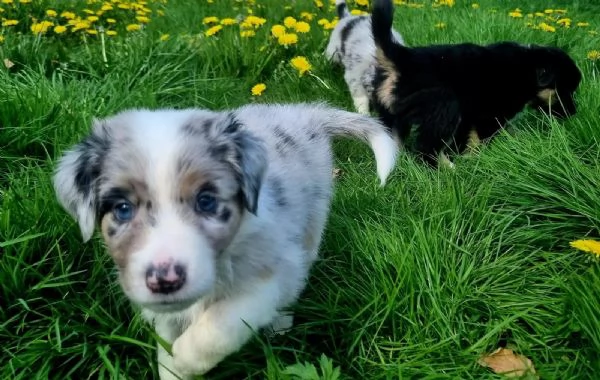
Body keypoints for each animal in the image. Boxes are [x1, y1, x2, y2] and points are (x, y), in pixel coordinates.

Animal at [370, 0, 580, 168]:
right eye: (565, 90)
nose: (573, 113)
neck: (527, 69)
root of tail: (400, 57)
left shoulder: (470, 117)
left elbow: (466, 138)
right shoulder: (490, 115)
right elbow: (478, 139)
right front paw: (474, 160)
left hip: (390, 112)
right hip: (443, 103)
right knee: (427, 145)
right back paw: (447, 169)